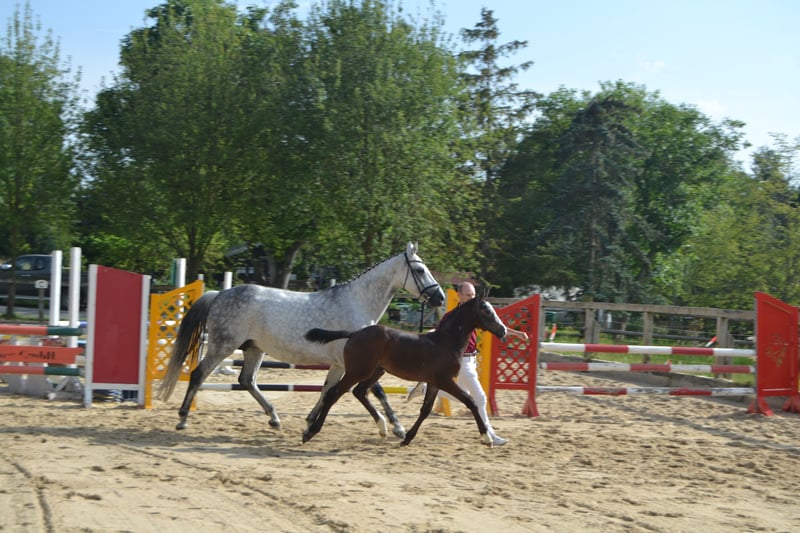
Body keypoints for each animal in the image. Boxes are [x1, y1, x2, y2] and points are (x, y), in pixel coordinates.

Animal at [157, 242, 445, 438]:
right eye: (420, 269)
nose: (439, 297)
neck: (356, 303)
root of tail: (220, 294)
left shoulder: (339, 364)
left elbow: (328, 391)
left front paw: (309, 421)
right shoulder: (357, 363)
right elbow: (376, 391)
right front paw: (394, 427)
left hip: (254, 349)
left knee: (246, 380)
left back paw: (274, 418)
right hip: (222, 346)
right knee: (199, 374)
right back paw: (182, 419)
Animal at [303, 292, 508, 447]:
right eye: (486, 311)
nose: (503, 331)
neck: (445, 342)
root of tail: (355, 333)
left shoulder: (434, 382)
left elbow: (425, 410)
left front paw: (407, 438)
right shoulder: (445, 380)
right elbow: (470, 401)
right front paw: (487, 438)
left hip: (376, 371)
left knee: (359, 392)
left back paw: (383, 428)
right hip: (357, 371)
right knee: (334, 394)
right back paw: (310, 432)